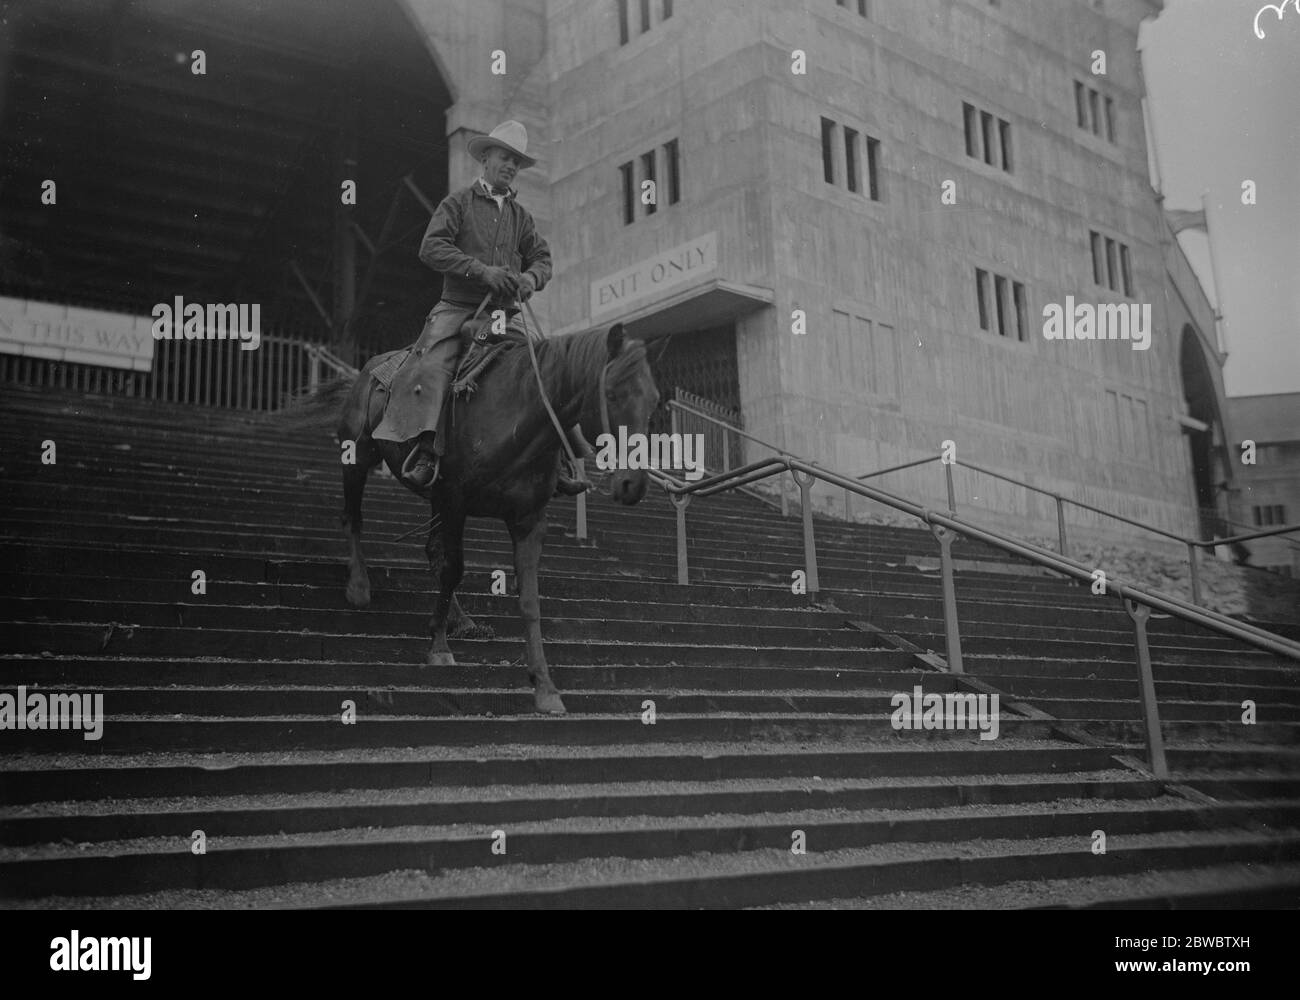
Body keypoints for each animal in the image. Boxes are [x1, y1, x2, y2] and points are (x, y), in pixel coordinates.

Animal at [284, 323, 650, 712]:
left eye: (654, 400)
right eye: (611, 394)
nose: (634, 484)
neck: (517, 417)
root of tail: (369, 369)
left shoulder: (528, 519)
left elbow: (529, 599)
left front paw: (545, 687)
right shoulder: (454, 500)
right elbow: (453, 569)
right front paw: (439, 647)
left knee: (431, 549)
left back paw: (459, 619)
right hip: (358, 456)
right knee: (353, 517)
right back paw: (359, 586)